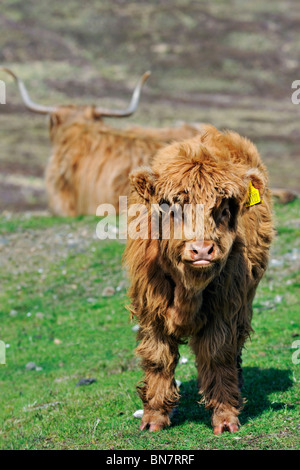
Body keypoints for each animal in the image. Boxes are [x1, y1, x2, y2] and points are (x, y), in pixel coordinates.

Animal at [123, 124, 274, 434]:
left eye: (224, 209)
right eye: (172, 208)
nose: (202, 249)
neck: (187, 289)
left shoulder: (225, 308)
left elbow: (217, 355)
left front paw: (225, 417)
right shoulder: (150, 309)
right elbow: (158, 358)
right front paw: (154, 417)